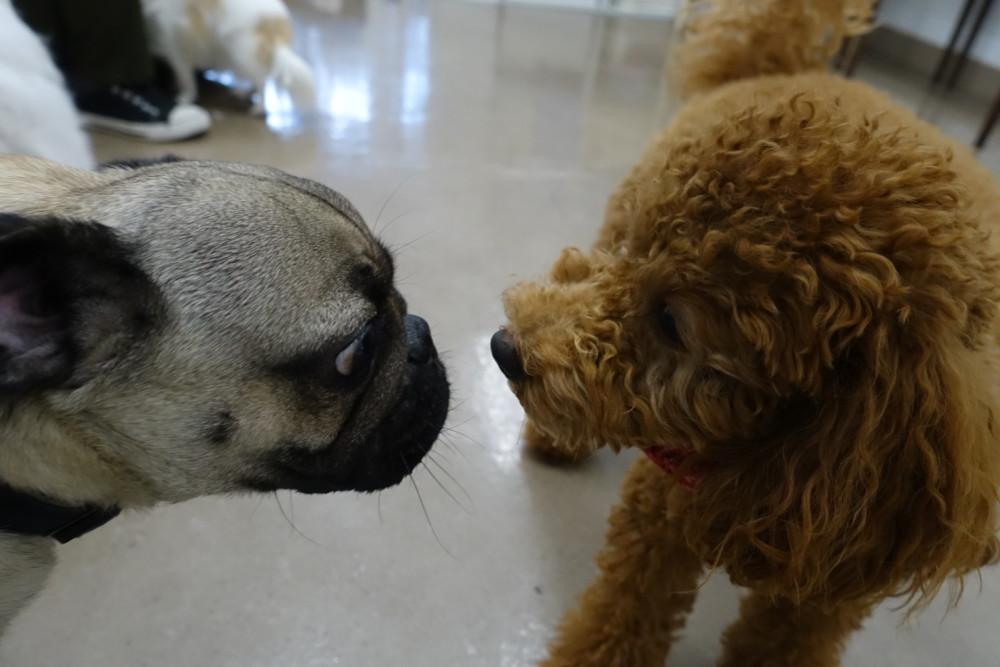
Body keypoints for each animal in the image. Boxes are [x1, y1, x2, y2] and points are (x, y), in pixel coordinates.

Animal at [141, 0, 315, 112]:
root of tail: (279, 24)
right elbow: (183, 77)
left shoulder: (175, 47)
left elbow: (187, 79)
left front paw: (184, 98)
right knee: (258, 78)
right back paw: (243, 93)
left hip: (242, 54)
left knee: (261, 81)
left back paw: (259, 107)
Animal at [492, 0, 1000, 664]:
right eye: (635, 255)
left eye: (670, 321)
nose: (506, 348)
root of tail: (780, 64)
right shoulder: (663, 505)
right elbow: (622, 611)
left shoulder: (837, 578)